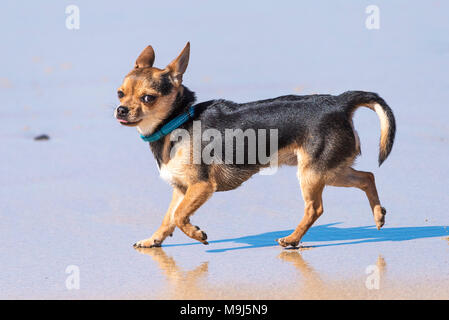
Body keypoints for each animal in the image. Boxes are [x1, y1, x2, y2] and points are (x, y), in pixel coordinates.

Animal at [115, 42, 396, 248]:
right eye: (120, 93)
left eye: (148, 98)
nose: (120, 109)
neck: (178, 121)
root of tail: (340, 102)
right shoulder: (182, 189)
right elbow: (168, 218)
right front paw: (153, 240)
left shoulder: (202, 186)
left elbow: (179, 215)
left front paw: (196, 234)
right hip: (331, 170)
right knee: (367, 177)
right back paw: (378, 215)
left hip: (312, 173)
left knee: (315, 208)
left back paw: (292, 239)